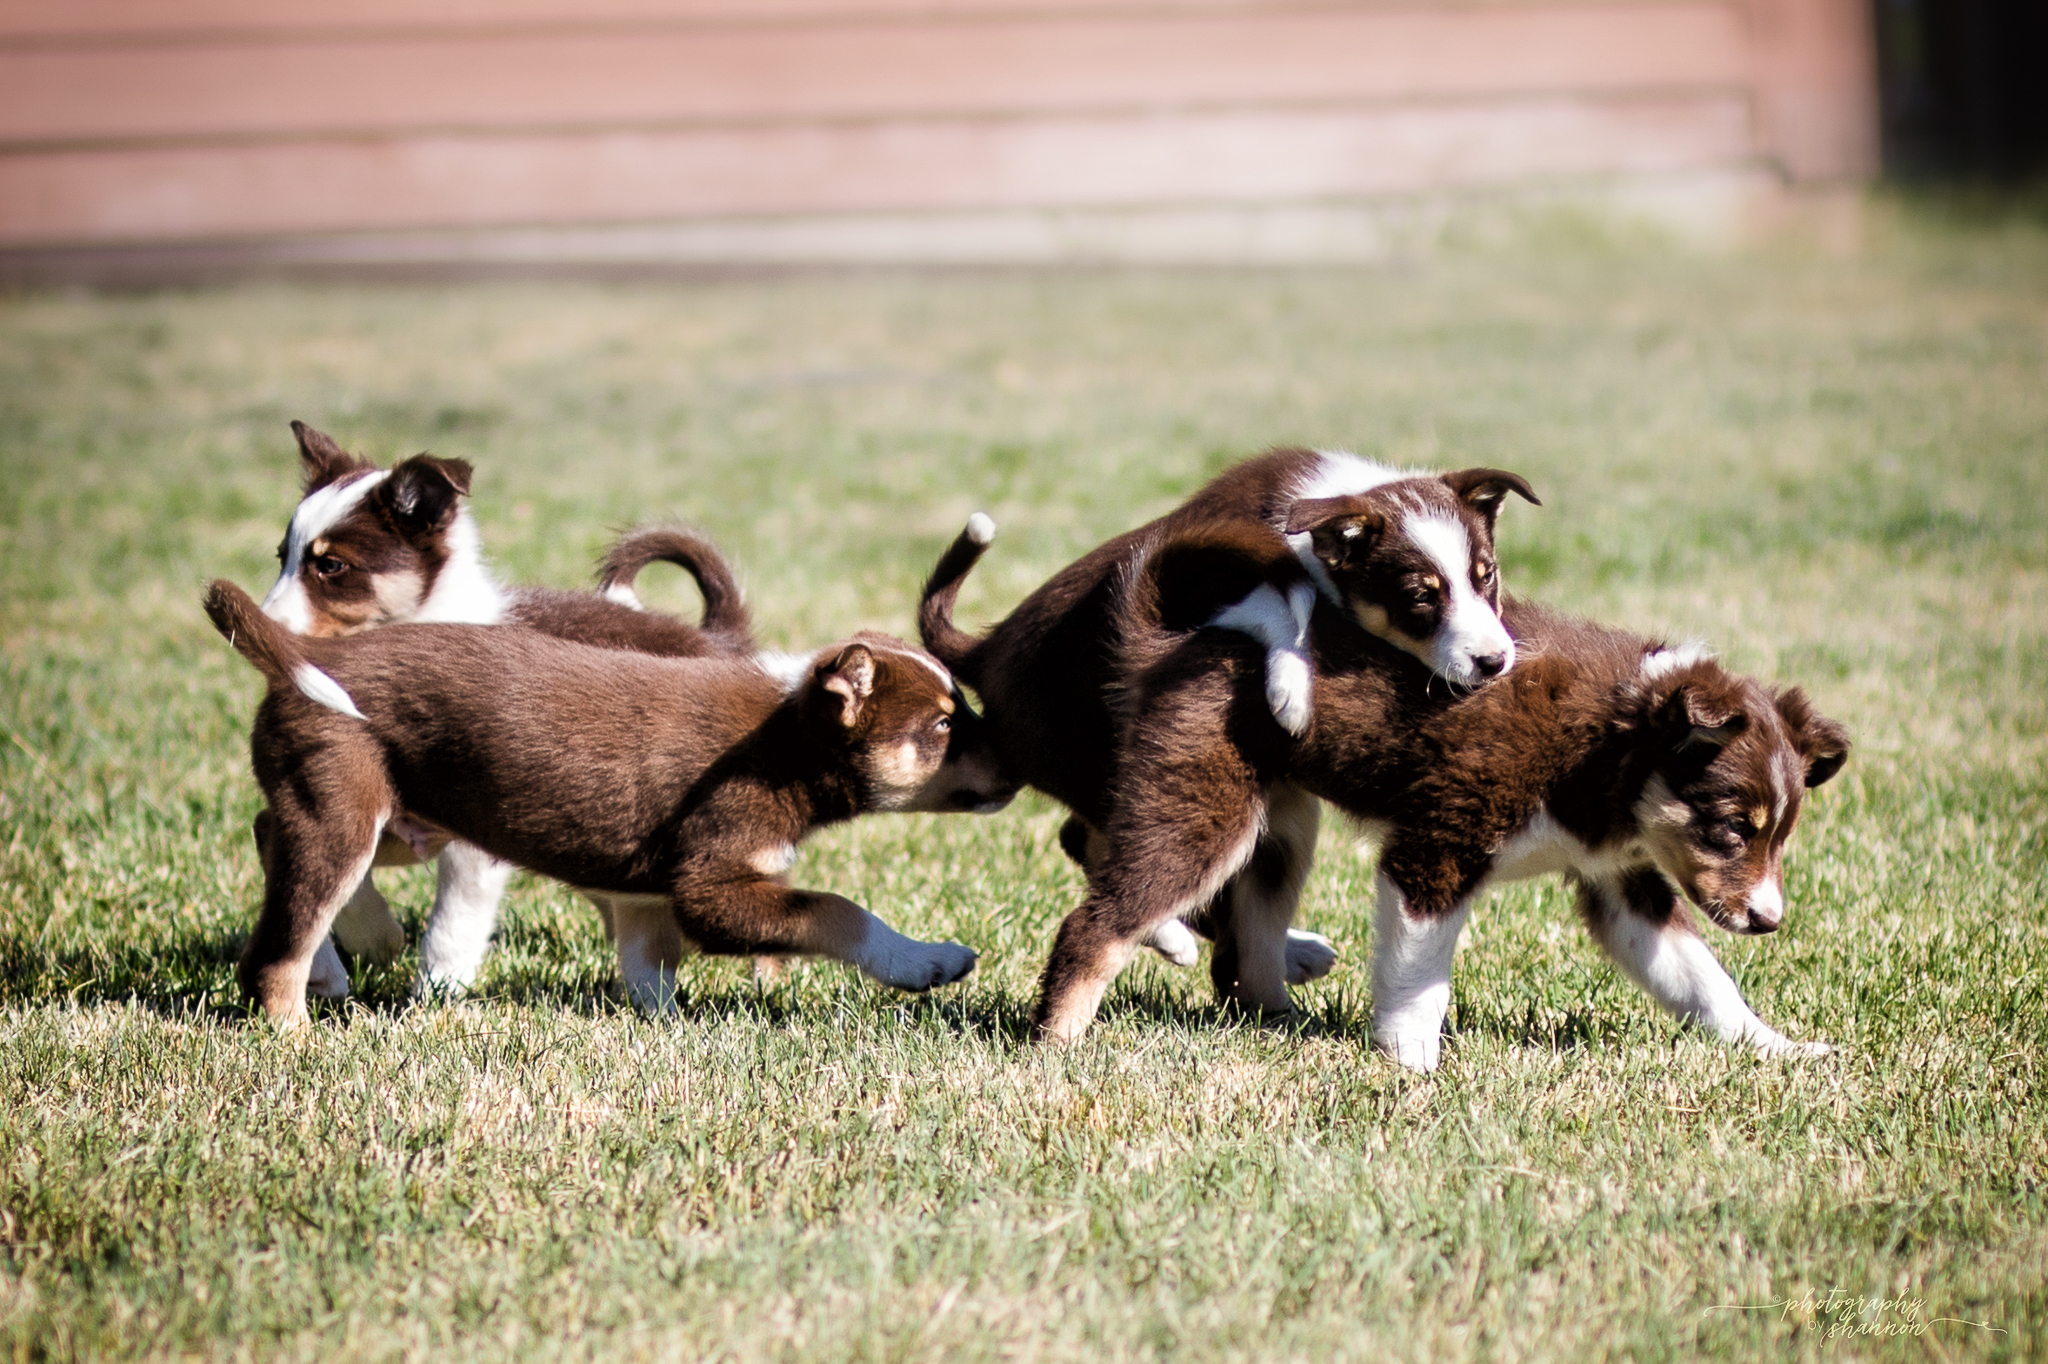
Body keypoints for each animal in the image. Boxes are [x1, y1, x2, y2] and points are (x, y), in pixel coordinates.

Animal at [207, 577, 1007, 1024]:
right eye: (944, 725)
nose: (1018, 756)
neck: (788, 737)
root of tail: (308, 656)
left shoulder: (648, 900)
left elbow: (650, 974)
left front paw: (665, 1029)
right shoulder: (709, 885)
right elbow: (838, 911)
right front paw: (929, 962)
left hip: (407, 813)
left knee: (267, 832)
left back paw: (337, 963)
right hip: (344, 811)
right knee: (280, 944)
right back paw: (299, 1028)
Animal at [260, 417, 757, 999]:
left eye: (332, 565)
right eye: (282, 557)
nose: (250, 629)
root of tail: (719, 640)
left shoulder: (477, 833)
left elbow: (453, 921)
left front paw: (435, 995)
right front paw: (369, 942)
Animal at [925, 450, 1540, 995]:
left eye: (1487, 576)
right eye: (1419, 597)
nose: (1495, 661)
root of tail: (981, 652)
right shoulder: (1209, 584)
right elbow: (1281, 605)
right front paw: (1291, 690)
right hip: (1098, 751)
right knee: (1111, 849)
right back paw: (1187, 937)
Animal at [1032, 548, 1851, 1056]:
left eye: (1778, 837)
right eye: (1731, 827)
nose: (1770, 921)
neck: (1611, 746)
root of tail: (1179, 639)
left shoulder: (1621, 881)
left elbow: (1702, 980)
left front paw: (1778, 1048)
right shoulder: (1437, 847)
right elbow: (1417, 980)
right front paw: (1411, 1066)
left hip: (1282, 828)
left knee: (1252, 933)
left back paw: (1281, 1023)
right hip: (1206, 811)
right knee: (1097, 922)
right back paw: (1057, 1041)